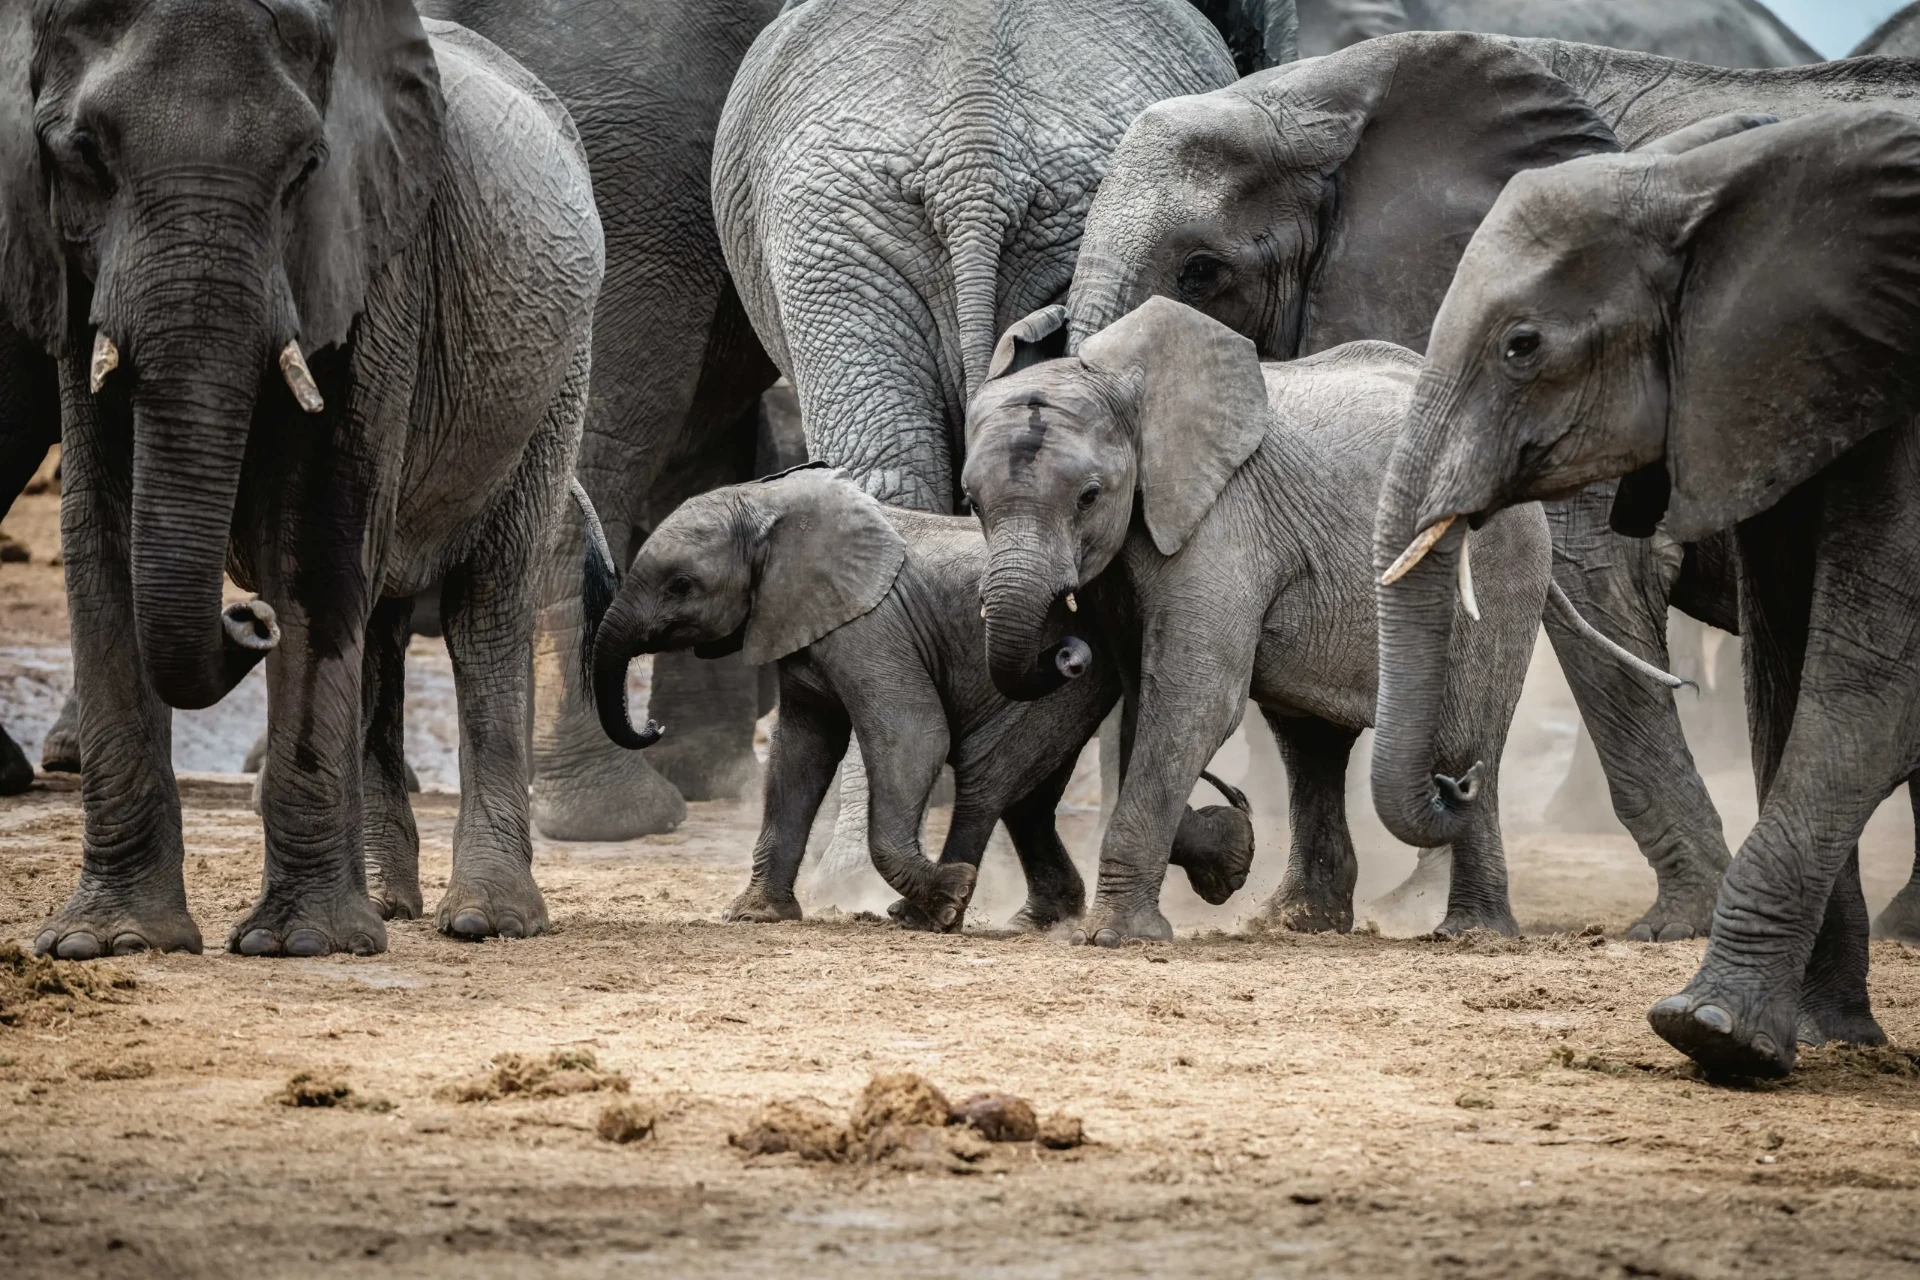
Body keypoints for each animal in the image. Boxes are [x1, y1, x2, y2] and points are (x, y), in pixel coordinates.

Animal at [7, 0, 603, 957]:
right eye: (83, 152)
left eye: (307, 167)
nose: (246, 619)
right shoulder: (70, 275)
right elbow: (102, 524)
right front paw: (110, 941)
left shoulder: (379, 258)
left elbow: (318, 525)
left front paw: (299, 946)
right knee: (383, 623)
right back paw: (390, 905)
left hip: (554, 379)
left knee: (486, 608)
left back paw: (487, 919)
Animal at [587, 466, 1255, 931]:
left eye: (681, 585)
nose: (653, 728)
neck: (771, 505)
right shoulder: (800, 626)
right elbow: (799, 755)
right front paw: (755, 916)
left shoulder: (870, 627)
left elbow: (912, 735)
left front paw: (947, 893)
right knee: (1029, 797)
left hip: (1065, 678)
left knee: (990, 776)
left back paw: (936, 912)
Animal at [963, 298, 1555, 945]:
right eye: (971, 502)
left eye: (1090, 496)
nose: (1064, 651)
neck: (1128, 390)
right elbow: (1149, 701)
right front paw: (1227, 853)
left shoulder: (1223, 522)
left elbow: (1196, 702)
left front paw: (1116, 936)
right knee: (1311, 743)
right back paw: (1302, 923)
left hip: (1506, 559)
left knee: (1467, 736)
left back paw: (1471, 931)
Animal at [1372, 107, 1920, 1077]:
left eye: (1522, 347)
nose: (1456, 776)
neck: (1704, 179)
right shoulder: (1778, 397)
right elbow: (1782, 683)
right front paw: (1825, 1038)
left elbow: (1871, 689)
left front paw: (1713, 1033)